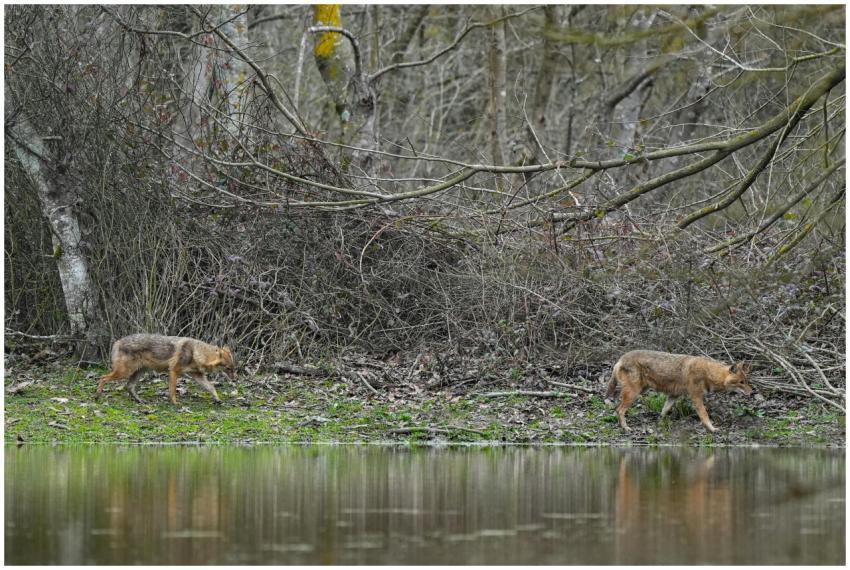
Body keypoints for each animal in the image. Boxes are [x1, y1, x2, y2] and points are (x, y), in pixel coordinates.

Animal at [95, 334, 235, 405]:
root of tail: (117, 341)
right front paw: (175, 403)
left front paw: (217, 399)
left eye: (233, 368)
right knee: (102, 378)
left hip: (138, 373)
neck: (196, 352)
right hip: (124, 373)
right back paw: (98, 395)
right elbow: (172, 391)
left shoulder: (197, 375)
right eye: (228, 369)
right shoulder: (173, 371)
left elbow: (211, 387)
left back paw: (140, 401)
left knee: (129, 387)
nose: (235, 380)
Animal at [607, 350, 752, 433]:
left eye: (746, 381)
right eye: (741, 382)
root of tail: (620, 359)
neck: (708, 373)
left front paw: (660, 423)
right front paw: (712, 429)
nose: (752, 392)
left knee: (617, 409)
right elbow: (704, 415)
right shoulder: (696, 397)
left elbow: (663, 411)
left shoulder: (673, 396)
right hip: (634, 393)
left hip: (639, 391)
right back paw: (625, 428)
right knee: (619, 410)